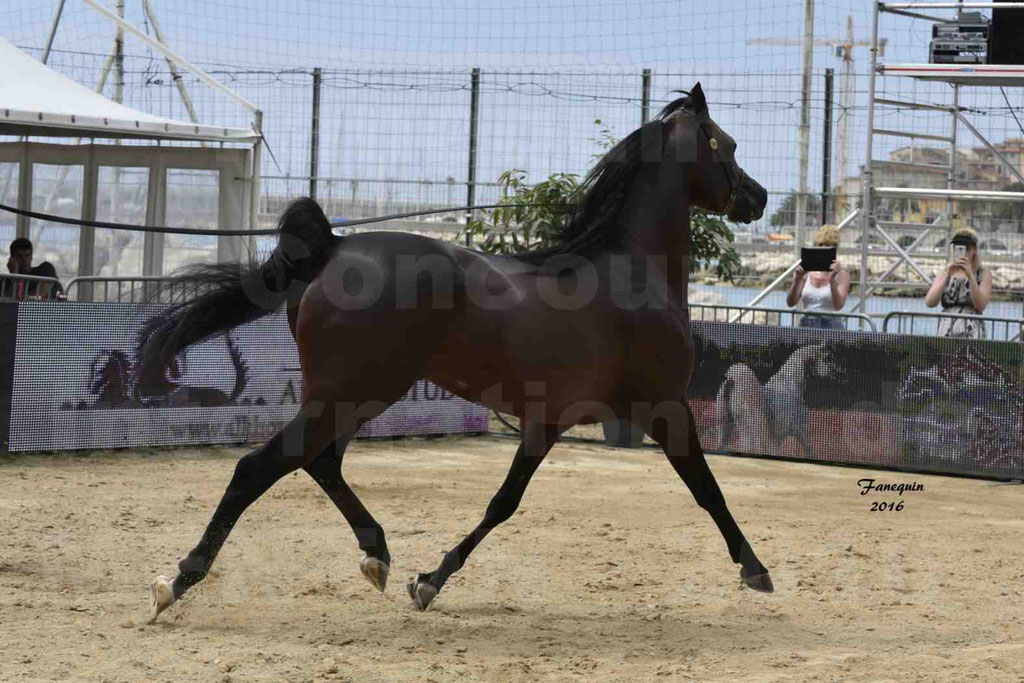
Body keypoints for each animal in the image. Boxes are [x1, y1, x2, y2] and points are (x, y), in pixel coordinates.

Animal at [142, 82, 770, 622]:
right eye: (730, 144)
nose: (758, 197)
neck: (629, 277)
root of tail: (334, 247)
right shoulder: (665, 408)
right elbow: (708, 490)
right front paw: (757, 571)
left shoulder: (547, 421)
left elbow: (503, 503)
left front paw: (427, 582)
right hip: (352, 393)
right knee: (260, 467)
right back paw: (176, 581)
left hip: (354, 396)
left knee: (320, 463)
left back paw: (377, 556)